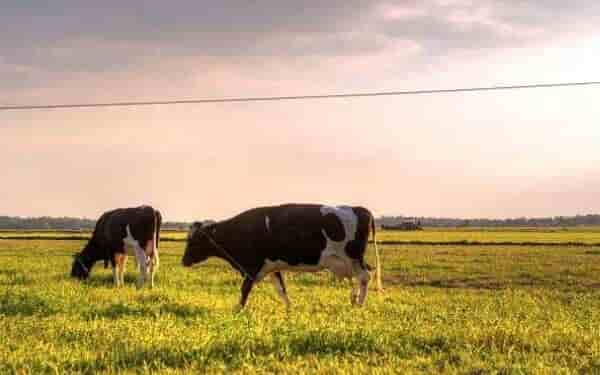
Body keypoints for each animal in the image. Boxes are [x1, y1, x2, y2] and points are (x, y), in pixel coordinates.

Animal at [180, 206, 382, 312]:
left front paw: (239, 308)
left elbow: (244, 289)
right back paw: (354, 299)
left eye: (195, 240)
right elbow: (281, 289)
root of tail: (360, 209)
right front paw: (289, 309)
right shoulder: (272, 267)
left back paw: (360, 304)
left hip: (353, 256)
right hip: (350, 261)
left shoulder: (252, 267)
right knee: (361, 276)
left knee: (365, 276)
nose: (184, 261)